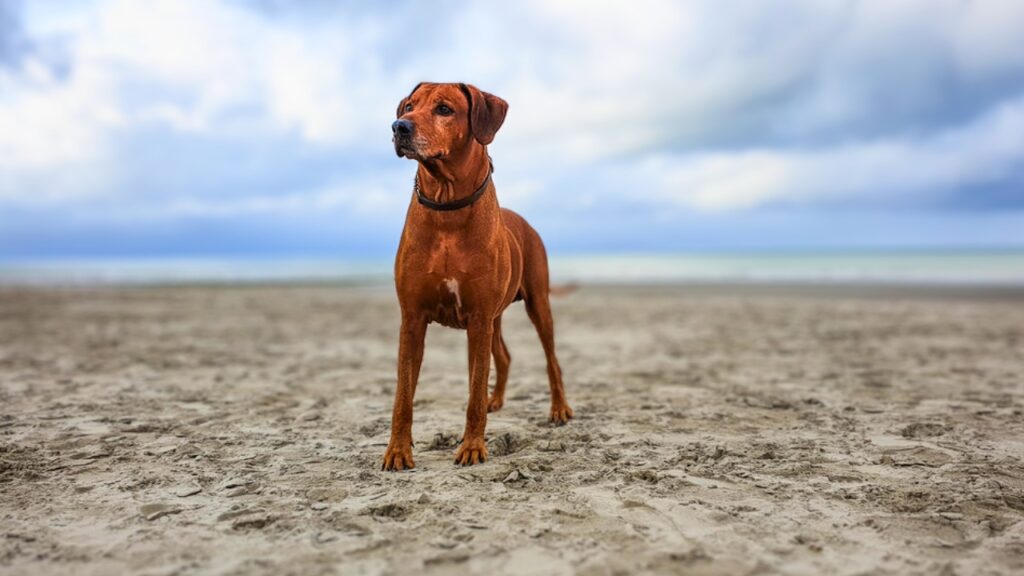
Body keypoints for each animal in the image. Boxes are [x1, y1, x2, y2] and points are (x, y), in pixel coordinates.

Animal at [385, 83, 577, 469]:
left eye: (444, 109)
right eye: (409, 106)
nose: (399, 127)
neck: (446, 208)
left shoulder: (477, 318)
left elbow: (474, 391)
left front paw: (473, 446)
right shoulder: (412, 319)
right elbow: (403, 395)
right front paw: (397, 450)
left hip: (537, 303)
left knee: (551, 360)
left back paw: (559, 408)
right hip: (494, 318)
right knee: (502, 357)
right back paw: (497, 400)